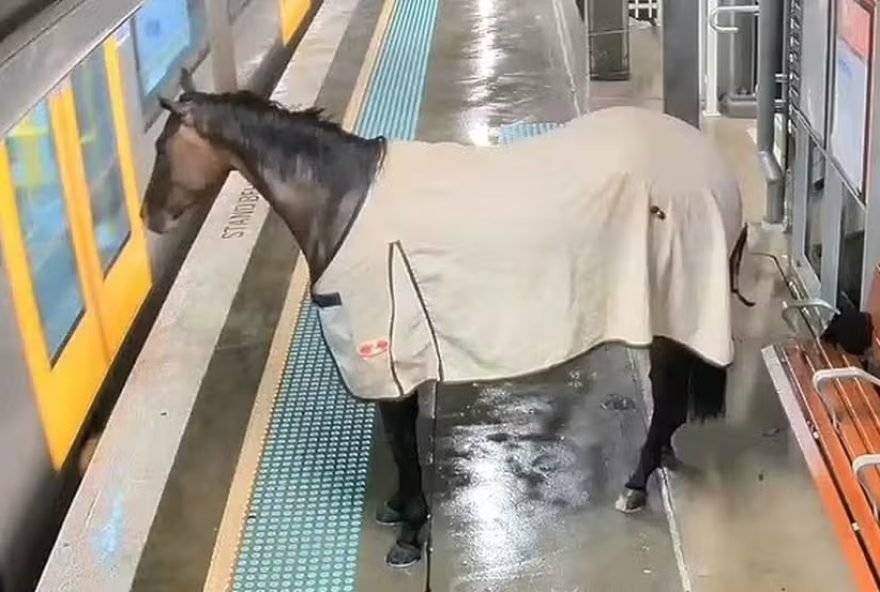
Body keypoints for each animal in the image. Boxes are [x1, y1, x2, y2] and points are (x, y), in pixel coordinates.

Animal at [143, 69, 748, 568]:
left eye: (161, 145)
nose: (150, 219)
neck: (343, 203)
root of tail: (714, 168)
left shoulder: (385, 360)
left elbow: (402, 445)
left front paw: (409, 533)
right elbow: (404, 443)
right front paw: (398, 510)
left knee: (667, 395)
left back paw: (636, 483)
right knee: (669, 397)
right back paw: (659, 458)